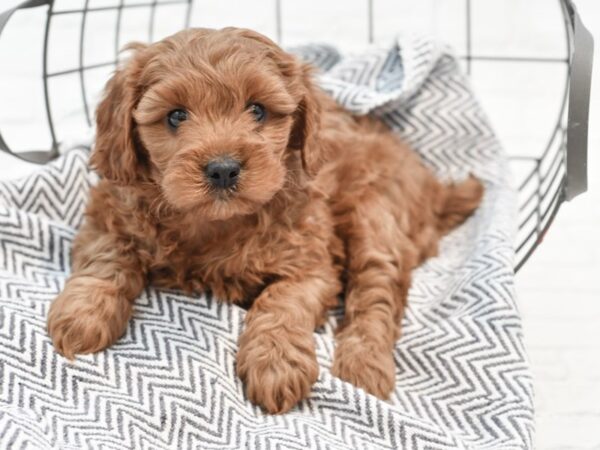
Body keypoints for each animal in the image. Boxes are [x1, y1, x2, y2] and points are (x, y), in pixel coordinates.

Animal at [49, 27, 486, 414]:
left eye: (258, 109)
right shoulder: (108, 214)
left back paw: (363, 365)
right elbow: (107, 260)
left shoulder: (312, 262)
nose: (223, 169)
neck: (215, 224)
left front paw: (275, 364)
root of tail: (433, 188)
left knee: (377, 290)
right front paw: (82, 315)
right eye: (175, 116)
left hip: (376, 212)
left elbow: (281, 302)